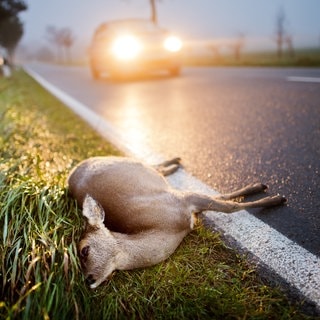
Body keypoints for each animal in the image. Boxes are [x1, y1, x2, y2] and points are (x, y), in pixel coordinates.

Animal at [67, 156, 284, 288]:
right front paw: (266, 193)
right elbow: (224, 200)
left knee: (151, 164)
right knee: (155, 167)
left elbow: (229, 206)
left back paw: (175, 162)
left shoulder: (181, 199)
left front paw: (273, 198)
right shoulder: (185, 202)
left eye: (84, 250)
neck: (169, 228)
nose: (88, 280)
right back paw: (175, 163)